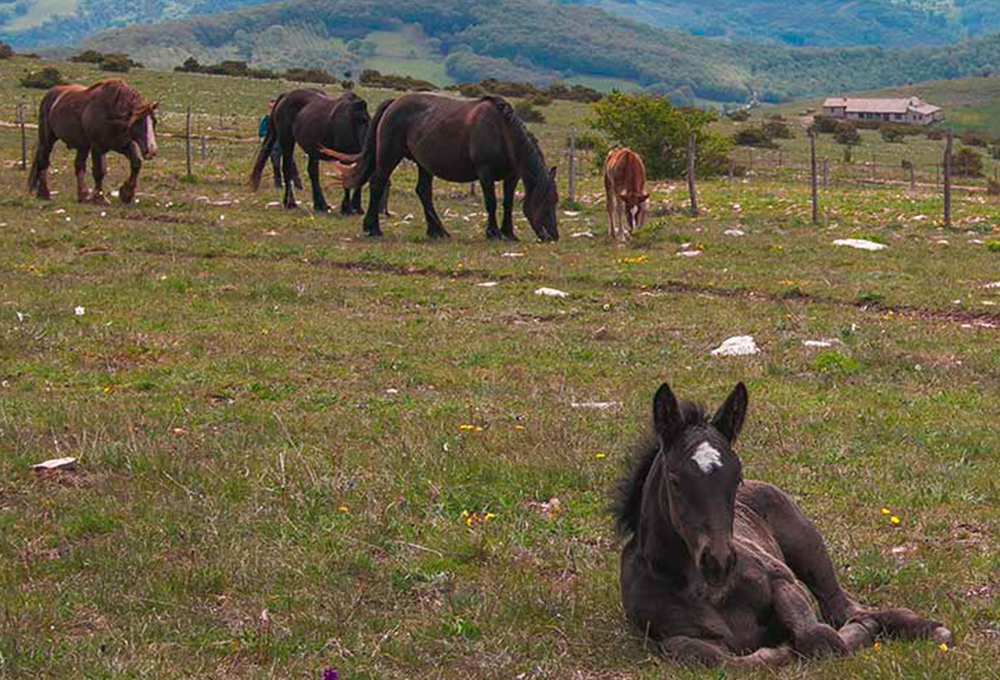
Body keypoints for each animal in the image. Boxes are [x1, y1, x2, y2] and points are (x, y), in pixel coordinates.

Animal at [328, 93, 564, 242]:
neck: (502, 132)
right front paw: (493, 232)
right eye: (546, 201)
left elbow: (507, 203)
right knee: (378, 183)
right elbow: (491, 202)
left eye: (555, 201)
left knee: (423, 192)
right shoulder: (485, 172)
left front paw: (509, 233)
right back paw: (373, 228)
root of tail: (394, 103)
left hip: (423, 164)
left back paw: (437, 231)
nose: (552, 236)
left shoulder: (511, 175)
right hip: (389, 156)